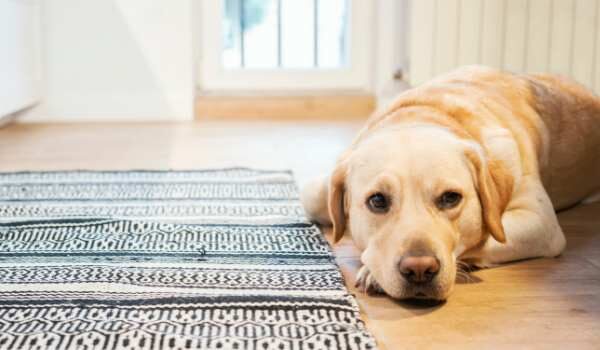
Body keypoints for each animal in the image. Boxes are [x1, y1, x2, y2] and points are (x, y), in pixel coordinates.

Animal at [300, 66, 600, 300]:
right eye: (377, 201)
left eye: (450, 197)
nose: (419, 269)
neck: (427, 112)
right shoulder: (317, 190)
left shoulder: (541, 223)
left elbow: (483, 237)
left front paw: (372, 272)